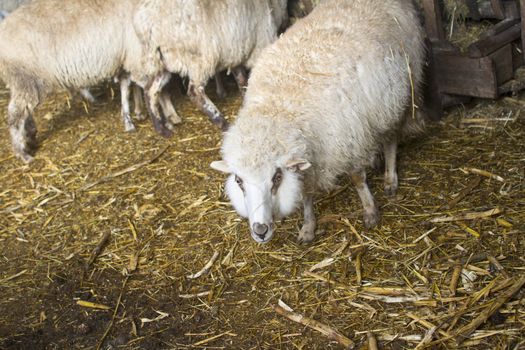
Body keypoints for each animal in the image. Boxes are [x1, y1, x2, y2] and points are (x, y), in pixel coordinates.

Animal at [0, 0, 180, 163]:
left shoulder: (128, 58)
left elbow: (131, 85)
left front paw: (136, 116)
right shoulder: (140, 55)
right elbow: (158, 88)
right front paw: (168, 118)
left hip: (25, 82)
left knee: (24, 111)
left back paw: (30, 135)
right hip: (24, 77)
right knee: (15, 114)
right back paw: (22, 153)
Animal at [131, 0, 286, 133]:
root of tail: (147, 23)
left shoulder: (236, 54)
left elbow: (242, 80)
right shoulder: (259, 47)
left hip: (162, 61)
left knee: (150, 90)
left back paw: (162, 129)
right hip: (198, 60)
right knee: (195, 93)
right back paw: (222, 122)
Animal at [210, 0, 426, 243]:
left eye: (276, 177)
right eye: (239, 181)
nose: (260, 230)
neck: (279, 108)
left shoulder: (349, 141)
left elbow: (357, 179)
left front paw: (370, 211)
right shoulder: (311, 161)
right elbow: (306, 195)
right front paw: (308, 227)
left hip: (397, 96)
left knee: (391, 139)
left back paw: (390, 178)